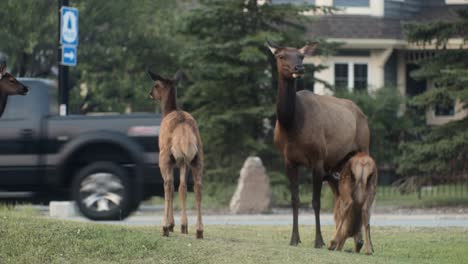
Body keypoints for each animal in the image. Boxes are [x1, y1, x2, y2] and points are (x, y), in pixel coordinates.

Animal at [147, 70, 204, 239]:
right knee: (197, 187)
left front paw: (172, 225)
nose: (150, 93)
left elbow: (172, 188)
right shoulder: (183, 162)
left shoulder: (171, 160)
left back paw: (164, 227)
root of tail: (185, 135)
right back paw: (199, 230)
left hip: (164, 156)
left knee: (168, 185)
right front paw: (183, 226)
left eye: (156, 85)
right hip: (198, 156)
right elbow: (182, 188)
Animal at [266, 39, 372, 248]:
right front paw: (294, 239)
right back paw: (348, 240)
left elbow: (316, 202)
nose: (299, 68)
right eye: (281, 56)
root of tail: (362, 113)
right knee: (343, 198)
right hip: (337, 166)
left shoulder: (318, 159)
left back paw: (356, 241)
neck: (291, 126)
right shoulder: (289, 160)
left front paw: (318, 241)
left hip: (363, 147)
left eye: (301, 56)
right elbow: (295, 199)